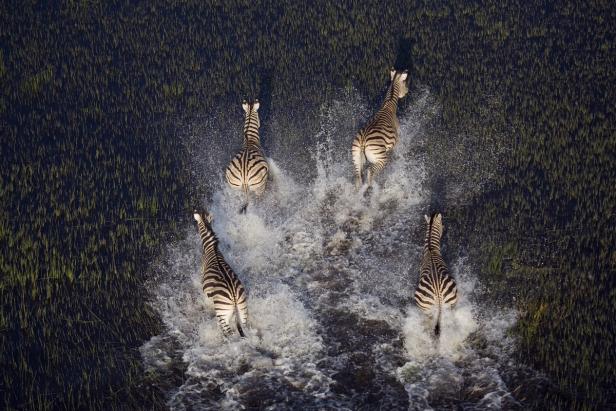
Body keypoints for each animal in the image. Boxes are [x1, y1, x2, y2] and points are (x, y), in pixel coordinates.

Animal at [194, 209, 249, 338]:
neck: (211, 248)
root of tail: (234, 298)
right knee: (245, 327)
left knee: (229, 333)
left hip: (222, 314)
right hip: (243, 310)